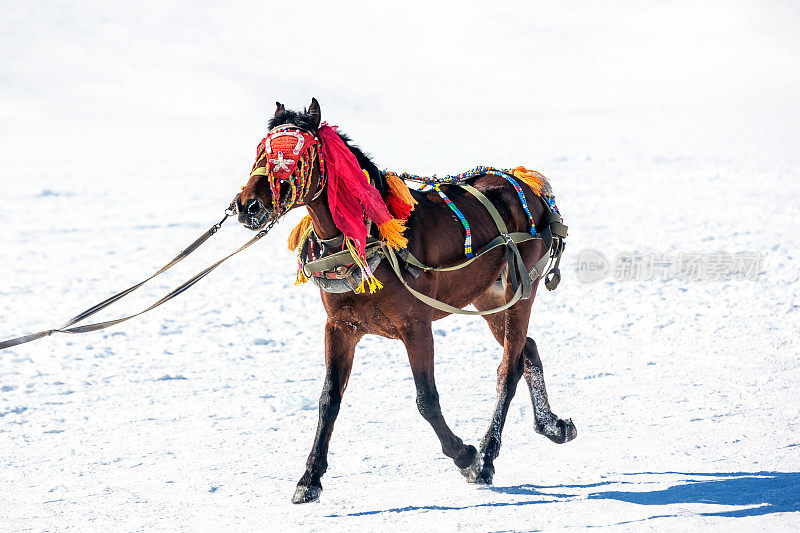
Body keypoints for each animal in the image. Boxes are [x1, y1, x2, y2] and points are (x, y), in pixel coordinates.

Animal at [234, 100, 580, 502]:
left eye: (297, 154)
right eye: (260, 152)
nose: (247, 205)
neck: (367, 238)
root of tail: (528, 185)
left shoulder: (416, 327)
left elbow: (426, 400)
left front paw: (466, 457)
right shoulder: (341, 328)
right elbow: (328, 400)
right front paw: (310, 477)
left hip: (520, 293)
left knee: (507, 370)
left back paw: (488, 454)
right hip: (488, 299)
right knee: (529, 349)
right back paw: (552, 426)